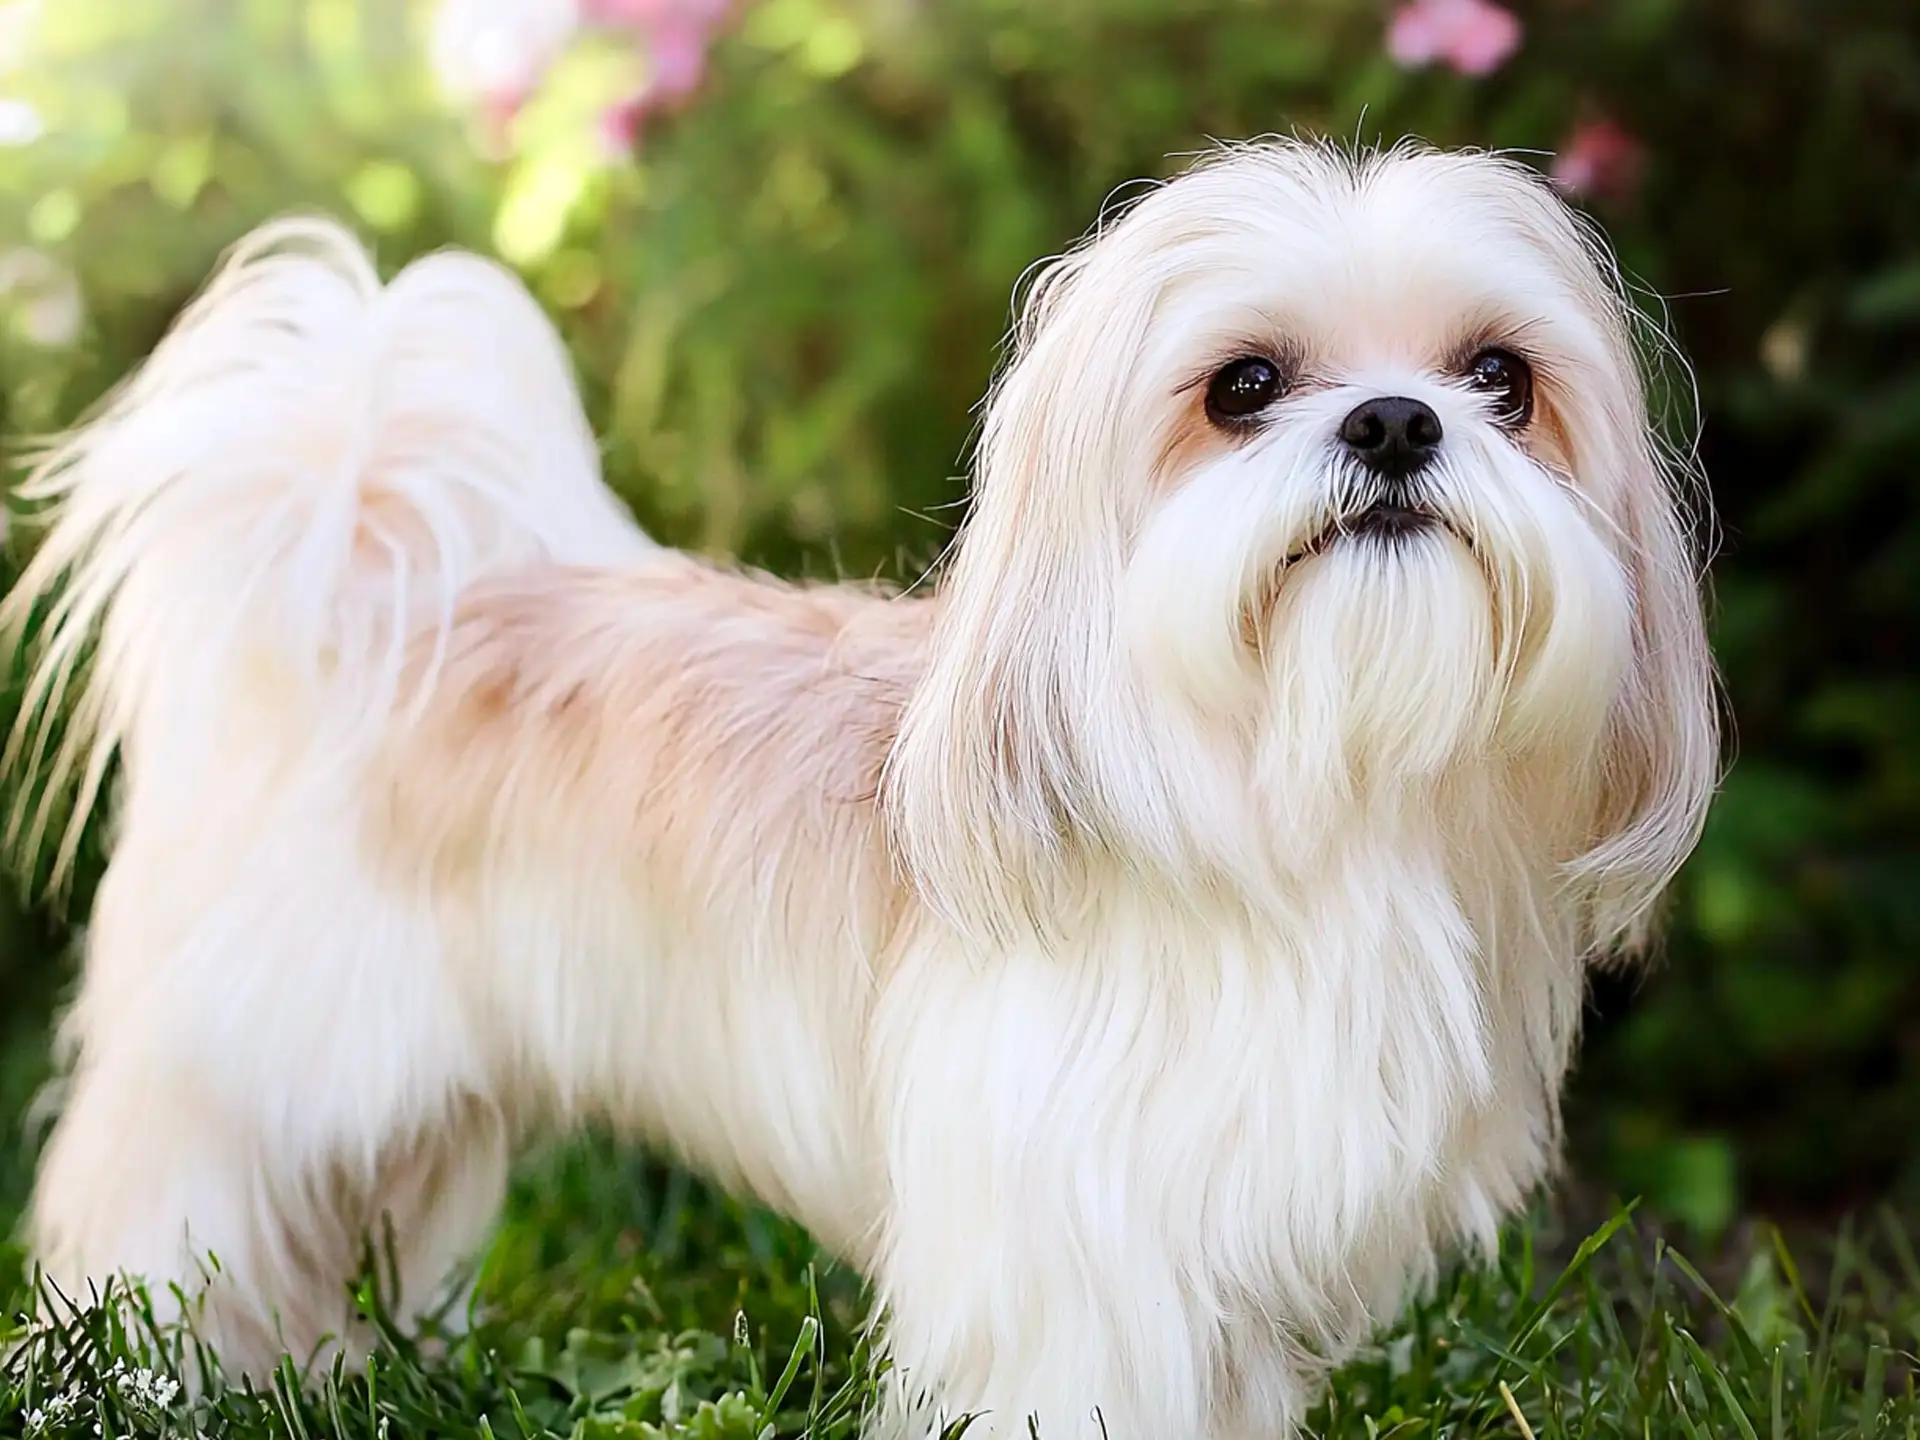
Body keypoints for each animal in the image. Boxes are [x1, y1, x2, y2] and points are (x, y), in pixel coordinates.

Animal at [0, 138, 1720, 1440]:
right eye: (1243, 385)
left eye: (1499, 377)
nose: (1398, 418)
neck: (1303, 800)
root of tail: (370, 592)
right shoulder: (1075, 1257)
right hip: (252, 1089)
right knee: (165, 1229)